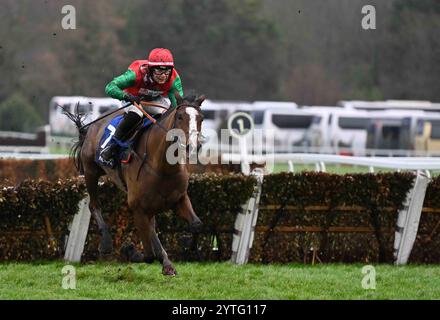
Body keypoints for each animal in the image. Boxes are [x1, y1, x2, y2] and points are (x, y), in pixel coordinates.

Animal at [64, 92, 205, 276]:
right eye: (180, 116)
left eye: (201, 118)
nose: (193, 146)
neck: (162, 167)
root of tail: (92, 126)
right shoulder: (137, 207)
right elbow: (149, 256)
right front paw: (130, 250)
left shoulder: (178, 198)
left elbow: (196, 225)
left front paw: (187, 244)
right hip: (91, 172)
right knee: (94, 206)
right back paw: (106, 244)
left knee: (152, 226)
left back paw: (167, 263)